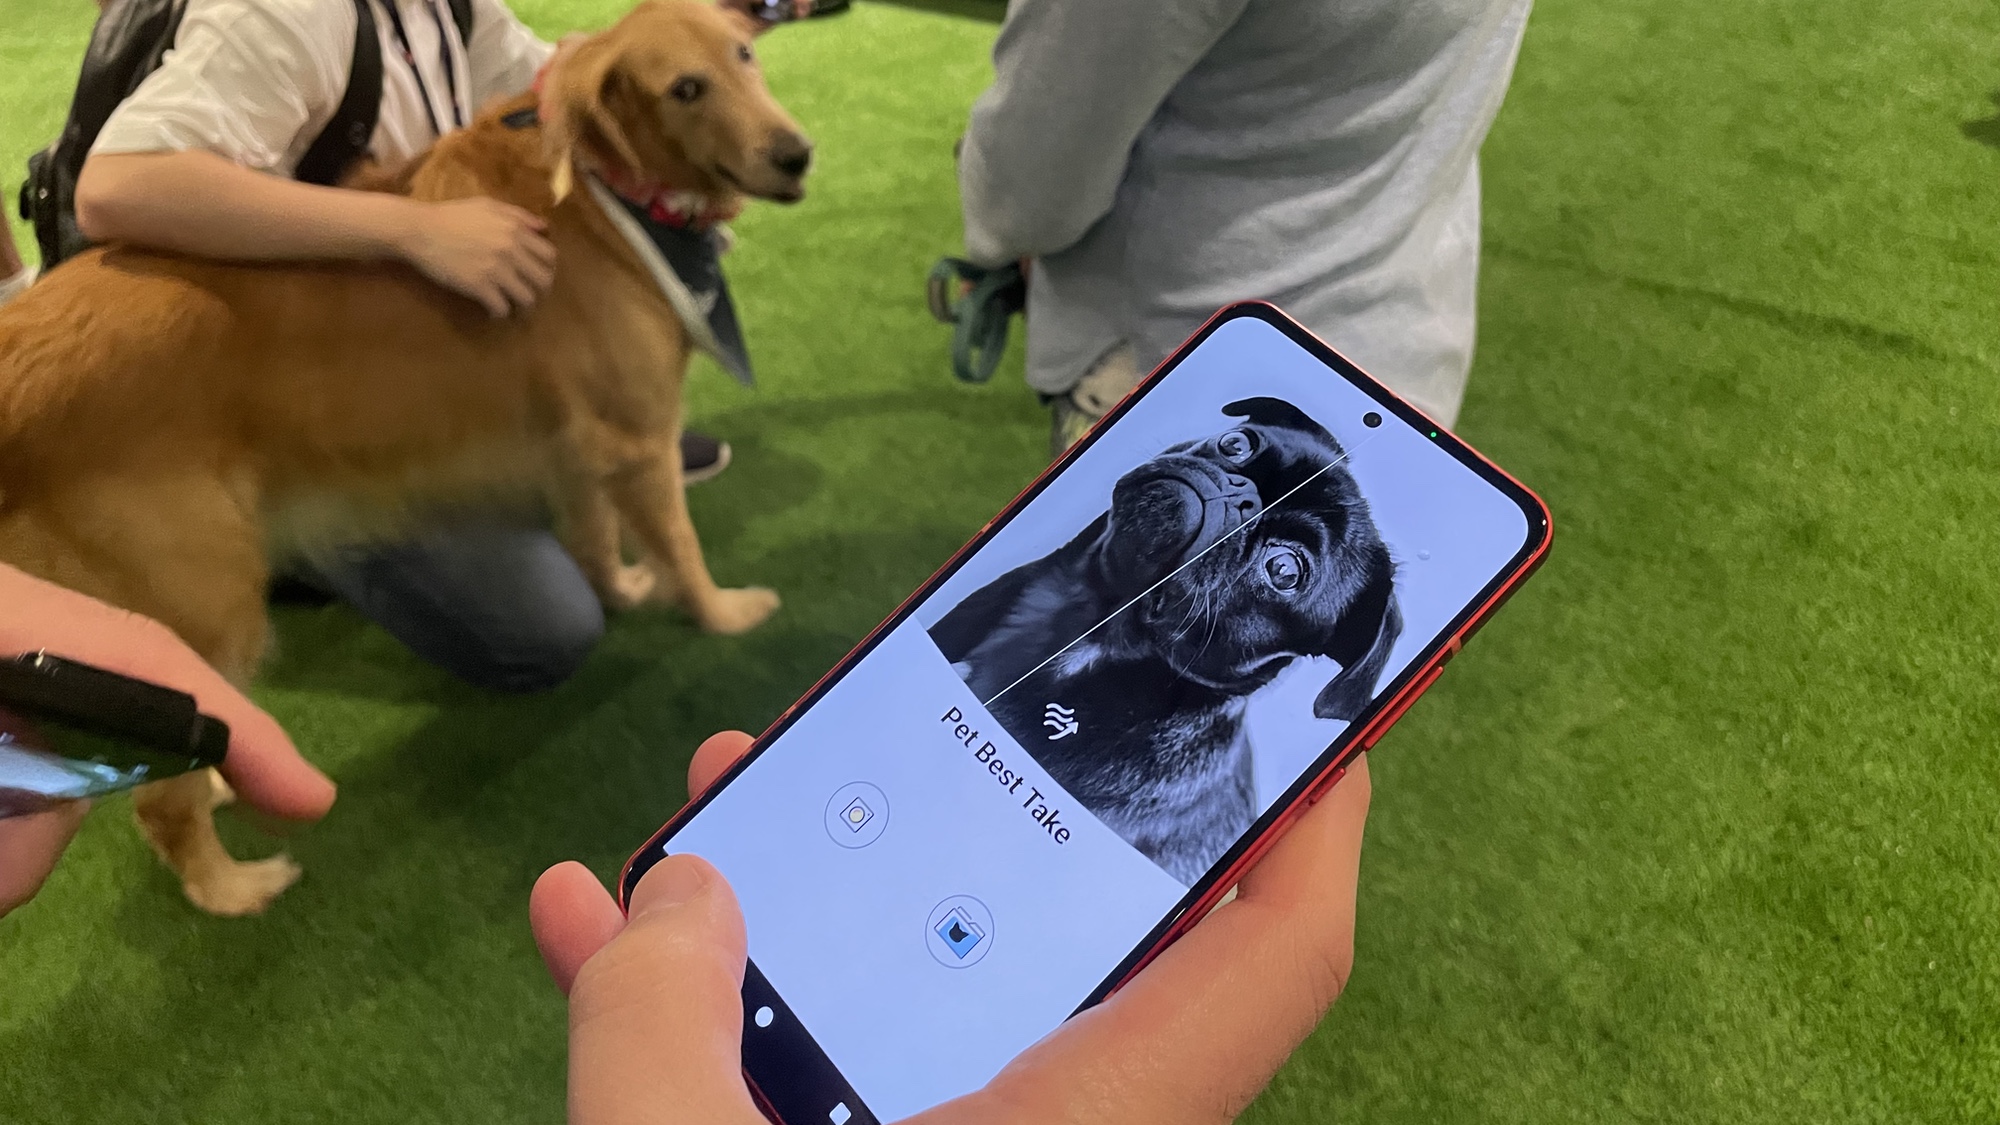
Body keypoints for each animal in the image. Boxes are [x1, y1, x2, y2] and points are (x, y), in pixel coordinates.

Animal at [0, 0, 808, 915]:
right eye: (686, 88)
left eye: (745, 56)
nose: (797, 153)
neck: (609, 193)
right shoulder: (639, 437)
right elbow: (682, 545)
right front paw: (722, 613)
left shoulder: (578, 439)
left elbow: (597, 537)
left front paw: (627, 590)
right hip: (209, 601)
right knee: (158, 800)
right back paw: (234, 887)